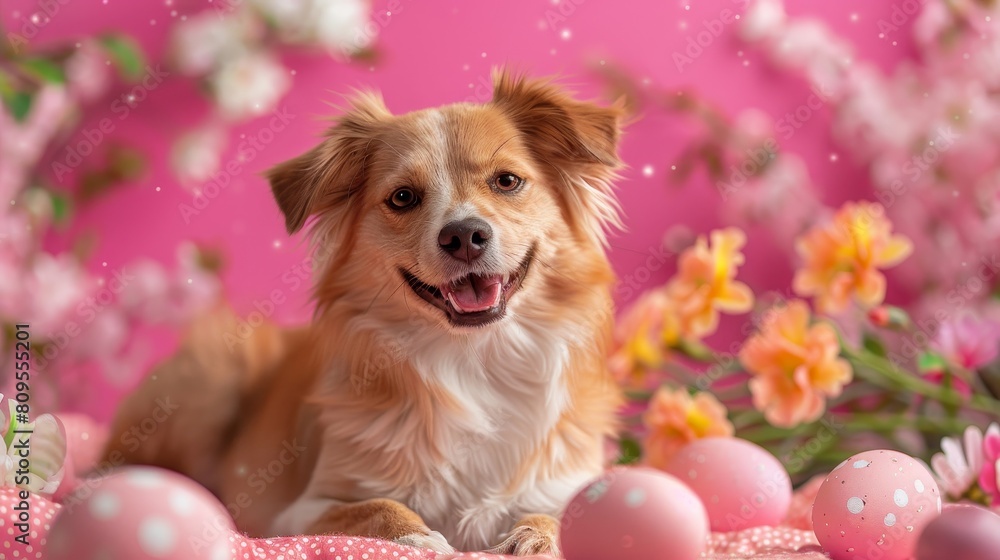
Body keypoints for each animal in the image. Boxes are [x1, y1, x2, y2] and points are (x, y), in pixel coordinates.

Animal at [107, 70, 624, 556]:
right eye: (403, 197)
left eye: (507, 181)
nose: (463, 235)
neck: (475, 359)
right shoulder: (295, 511)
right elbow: (375, 506)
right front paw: (417, 537)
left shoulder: (561, 482)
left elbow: (562, 511)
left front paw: (537, 535)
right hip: (213, 377)